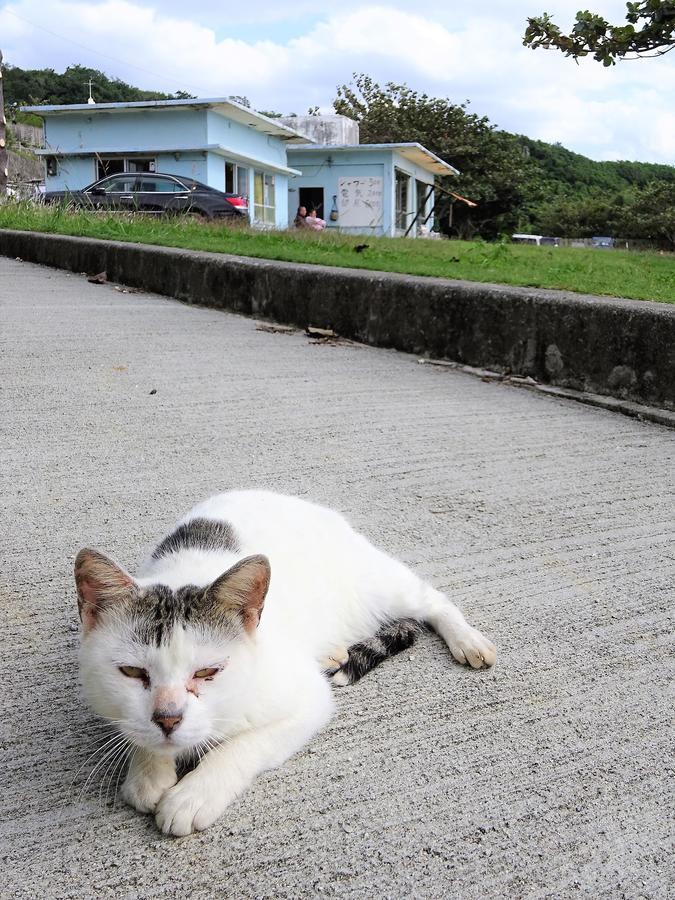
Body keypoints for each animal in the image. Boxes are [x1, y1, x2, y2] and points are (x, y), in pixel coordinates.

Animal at [76, 492, 496, 836]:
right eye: (132, 672)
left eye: (207, 672)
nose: (168, 718)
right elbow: (137, 732)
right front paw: (147, 771)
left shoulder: (308, 701)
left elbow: (241, 746)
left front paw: (193, 795)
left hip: (380, 584)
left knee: (432, 599)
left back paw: (468, 641)